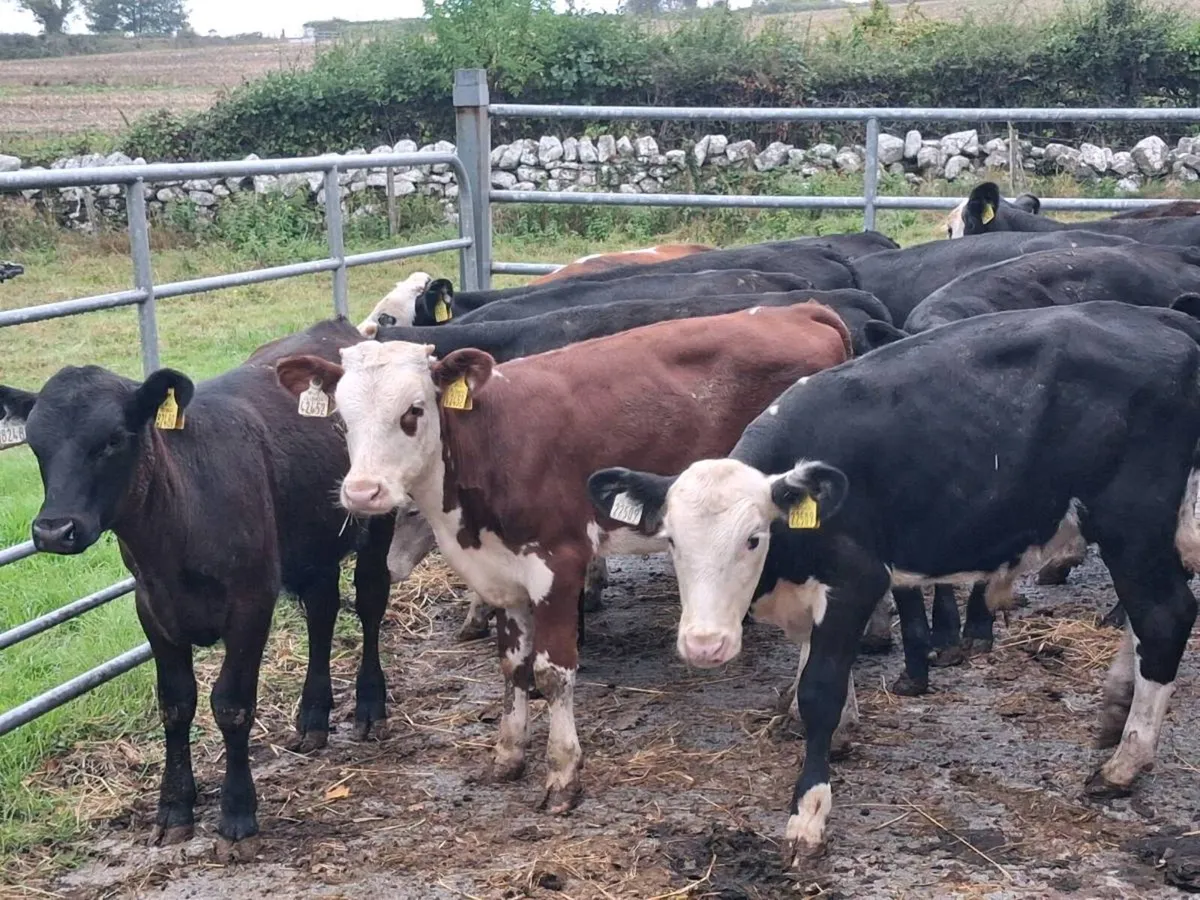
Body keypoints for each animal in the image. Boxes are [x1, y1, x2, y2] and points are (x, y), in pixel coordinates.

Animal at [0, 320, 397, 861]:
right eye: (36, 445)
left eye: (113, 439)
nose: (52, 530)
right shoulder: (152, 606)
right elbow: (175, 704)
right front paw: (174, 809)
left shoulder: (252, 602)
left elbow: (231, 705)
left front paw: (237, 817)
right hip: (311, 542)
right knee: (322, 611)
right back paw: (313, 717)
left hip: (377, 519)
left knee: (371, 600)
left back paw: (370, 707)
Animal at [274, 304, 856, 814]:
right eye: (342, 421)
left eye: (413, 411)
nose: (362, 492)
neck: (493, 441)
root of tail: (799, 310)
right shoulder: (503, 576)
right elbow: (512, 666)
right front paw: (508, 754)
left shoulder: (558, 566)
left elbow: (553, 674)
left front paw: (562, 774)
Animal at [587, 301, 1200, 865]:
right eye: (671, 541)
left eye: (754, 539)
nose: (704, 645)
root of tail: (1161, 321)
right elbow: (814, 668)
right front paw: (841, 735)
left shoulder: (856, 579)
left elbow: (820, 689)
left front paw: (808, 812)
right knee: (1146, 616)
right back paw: (1117, 708)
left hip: (1130, 520)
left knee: (1164, 615)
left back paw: (1125, 763)